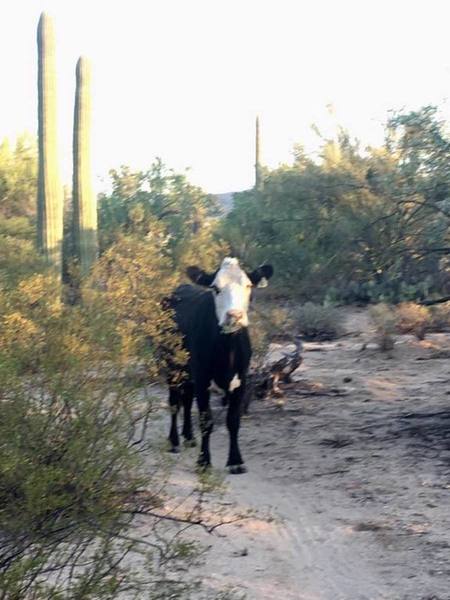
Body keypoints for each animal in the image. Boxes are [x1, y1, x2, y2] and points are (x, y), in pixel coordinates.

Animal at [167, 256, 272, 474]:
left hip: (189, 373)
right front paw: (204, 461)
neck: (227, 350)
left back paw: (189, 437)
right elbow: (206, 420)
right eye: (215, 288)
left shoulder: (241, 379)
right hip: (169, 364)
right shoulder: (203, 378)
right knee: (174, 401)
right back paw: (174, 441)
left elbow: (233, 420)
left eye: (249, 285)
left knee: (186, 399)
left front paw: (236, 461)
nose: (235, 315)